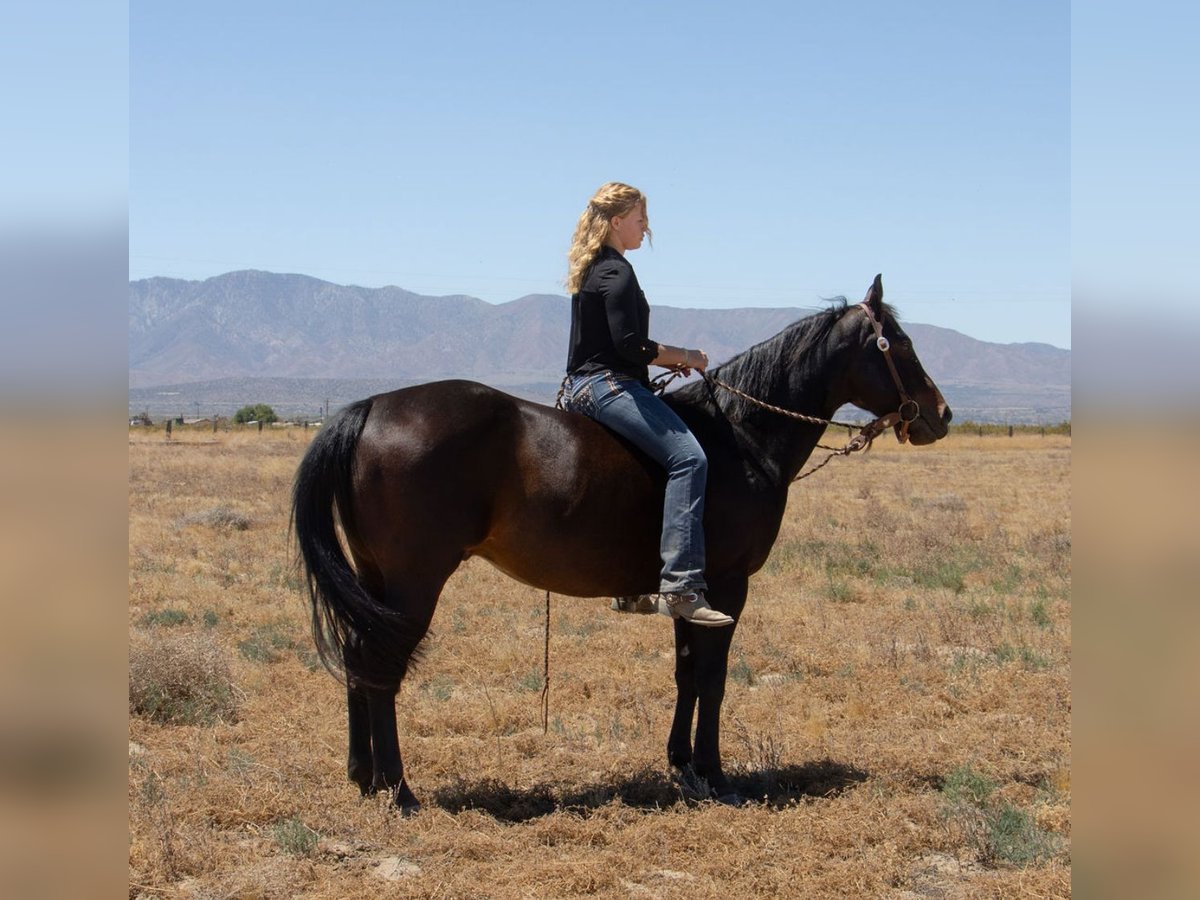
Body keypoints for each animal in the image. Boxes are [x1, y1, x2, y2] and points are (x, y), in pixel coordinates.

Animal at [288, 274, 945, 811]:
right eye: (899, 345)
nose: (939, 414)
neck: (740, 436)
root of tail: (371, 407)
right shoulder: (728, 585)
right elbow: (713, 678)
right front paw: (716, 776)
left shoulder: (690, 591)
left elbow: (686, 673)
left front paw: (684, 768)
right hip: (412, 582)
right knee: (380, 666)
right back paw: (400, 790)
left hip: (373, 579)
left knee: (357, 657)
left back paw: (364, 778)